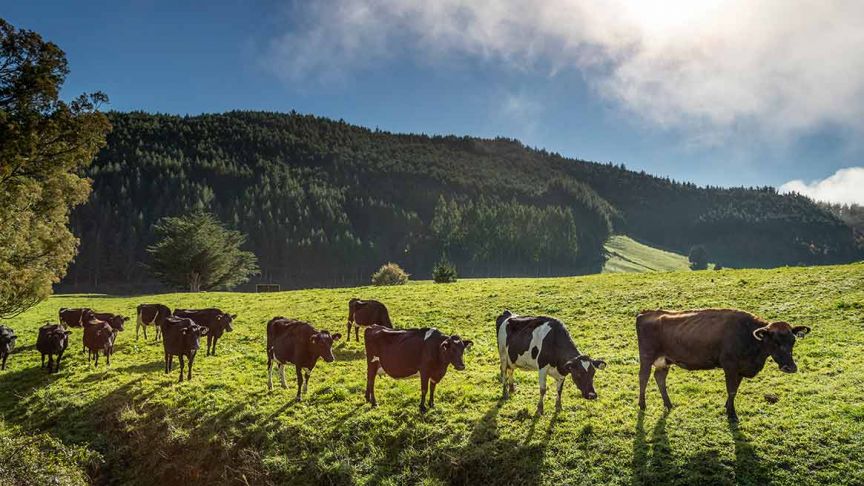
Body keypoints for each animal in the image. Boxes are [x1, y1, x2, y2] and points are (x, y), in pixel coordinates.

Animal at [636, 312, 808, 422]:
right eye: (776, 342)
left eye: (793, 340)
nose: (790, 367)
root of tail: (646, 313)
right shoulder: (730, 366)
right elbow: (731, 390)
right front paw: (732, 414)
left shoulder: (739, 369)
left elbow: (735, 390)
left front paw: (727, 407)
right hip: (646, 357)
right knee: (643, 378)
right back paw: (642, 405)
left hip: (664, 361)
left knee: (659, 378)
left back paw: (668, 404)